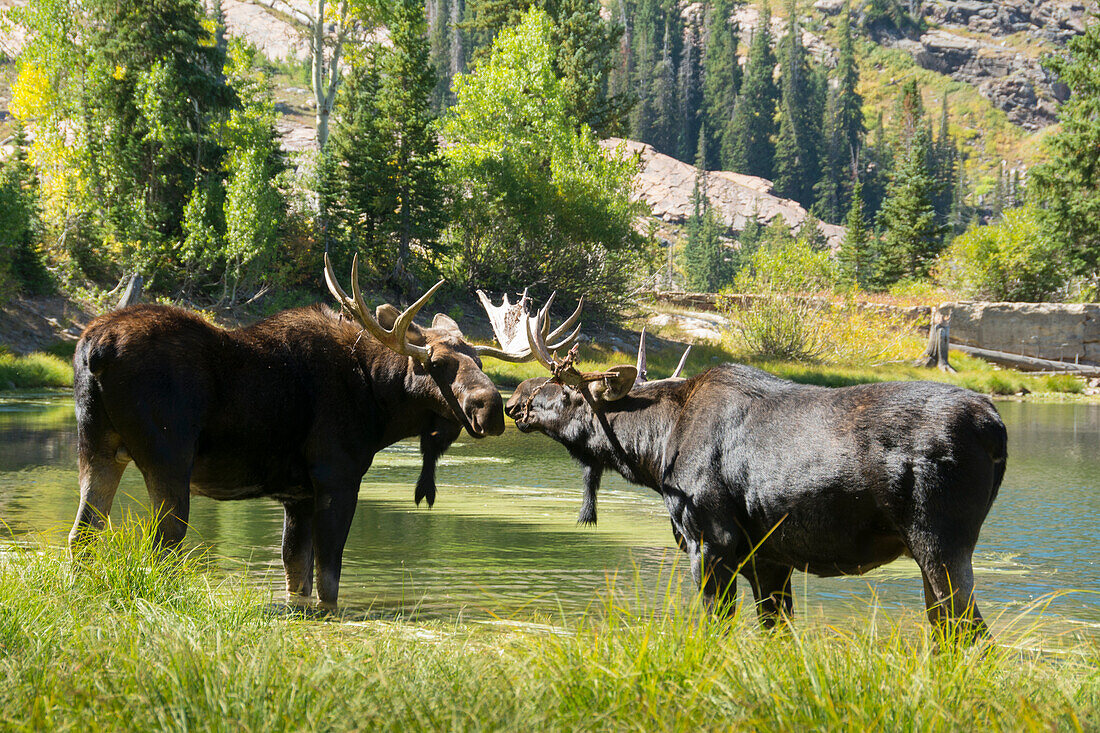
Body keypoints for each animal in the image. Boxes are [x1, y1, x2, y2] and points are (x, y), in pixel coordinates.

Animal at [66, 256, 585, 603]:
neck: (379, 405)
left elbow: (296, 572)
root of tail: (94, 348)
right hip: (168, 459)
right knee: (162, 542)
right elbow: (329, 577)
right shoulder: (337, 477)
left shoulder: (296, 494)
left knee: (82, 533)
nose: (493, 408)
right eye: (436, 364)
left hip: (97, 449)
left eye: (478, 358)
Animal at [506, 308, 1007, 633]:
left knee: (971, 633)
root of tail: (996, 427)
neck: (655, 450)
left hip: (939, 541)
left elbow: (715, 632)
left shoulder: (711, 541)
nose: (515, 401)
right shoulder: (768, 559)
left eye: (565, 390)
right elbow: (777, 637)